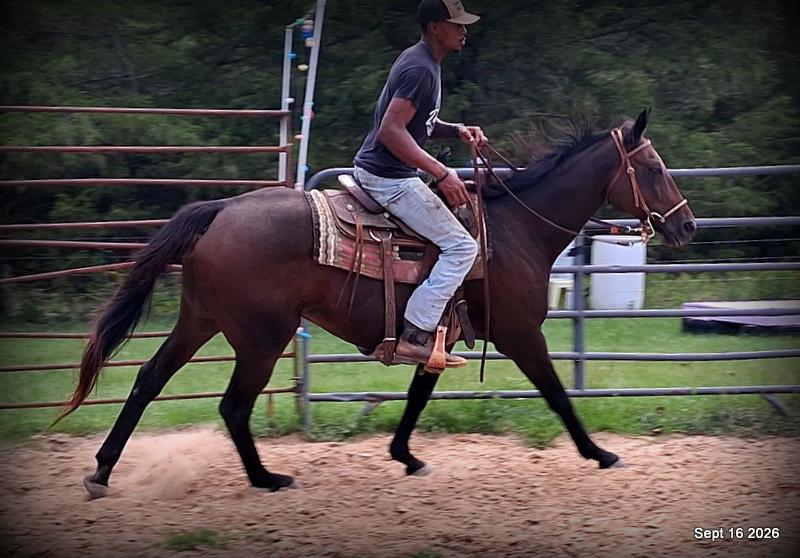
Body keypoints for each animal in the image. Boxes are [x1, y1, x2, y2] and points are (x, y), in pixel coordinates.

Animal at [60, 109, 696, 498]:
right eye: (653, 167)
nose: (687, 225)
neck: (515, 229)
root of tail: (220, 211)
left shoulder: (437, 336)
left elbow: (417, 394)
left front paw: (405, 456)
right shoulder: (521, 334)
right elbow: (559, 395)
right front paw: (600, 454)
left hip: (201, 319)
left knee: (147, 380)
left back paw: (103, 471)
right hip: (262, 338)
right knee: (233, 407)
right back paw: (267, 479)